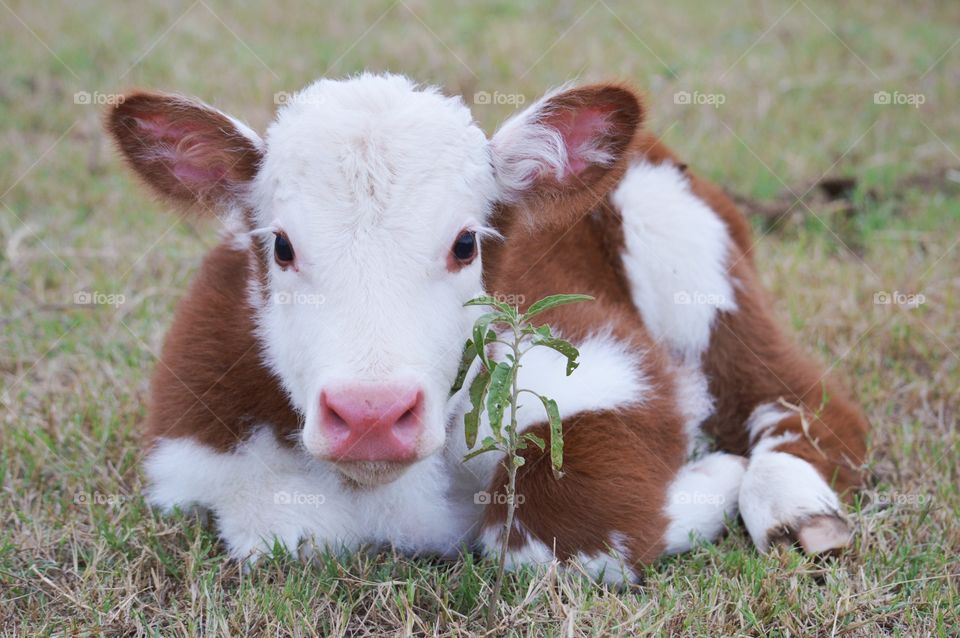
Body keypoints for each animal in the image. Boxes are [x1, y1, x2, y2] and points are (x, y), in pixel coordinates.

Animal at [109, 72, 868, 584]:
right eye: (282, 246)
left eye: (466, 243)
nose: (371, 414)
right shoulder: (192, 442)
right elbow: (277, 527)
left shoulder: (608, 360)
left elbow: (566, 534)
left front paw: (710, 474)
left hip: (685, 241)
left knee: (801, 398)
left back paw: (797, 510)